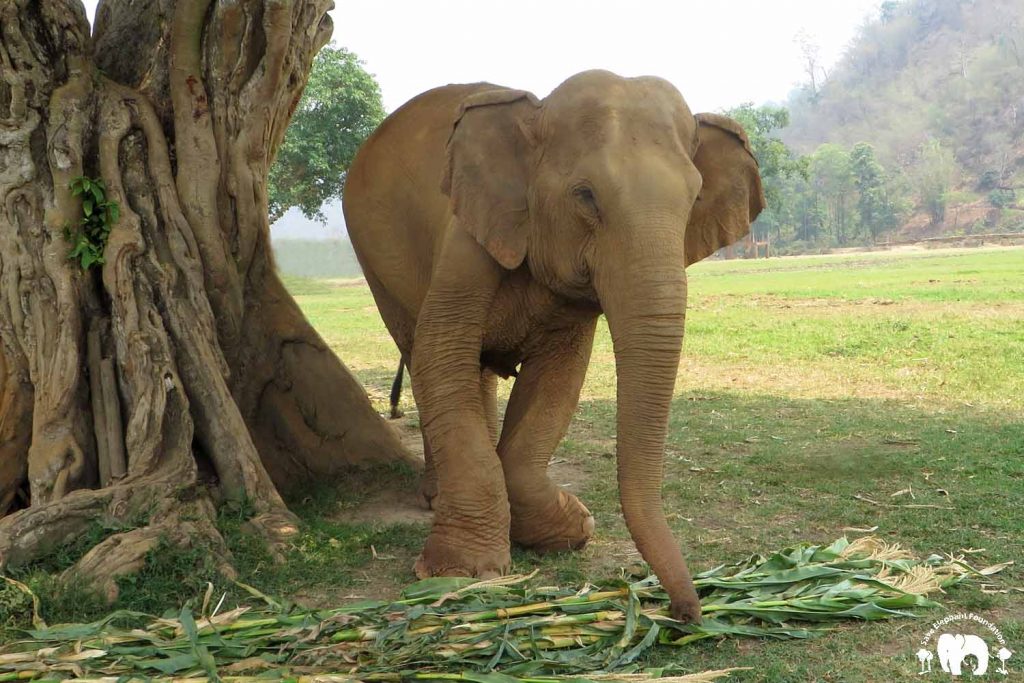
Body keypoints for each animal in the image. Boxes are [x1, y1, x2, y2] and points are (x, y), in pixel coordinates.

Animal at [343, 70, 764, 623]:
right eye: (585, 195)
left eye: (693, 198)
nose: (684, 613)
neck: (535, 112)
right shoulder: (467, 236)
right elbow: (442, 352)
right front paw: (464, 571)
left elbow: (561, 376)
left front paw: (569, 531)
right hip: (373, 257)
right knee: (421, 354)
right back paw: (435, 497)